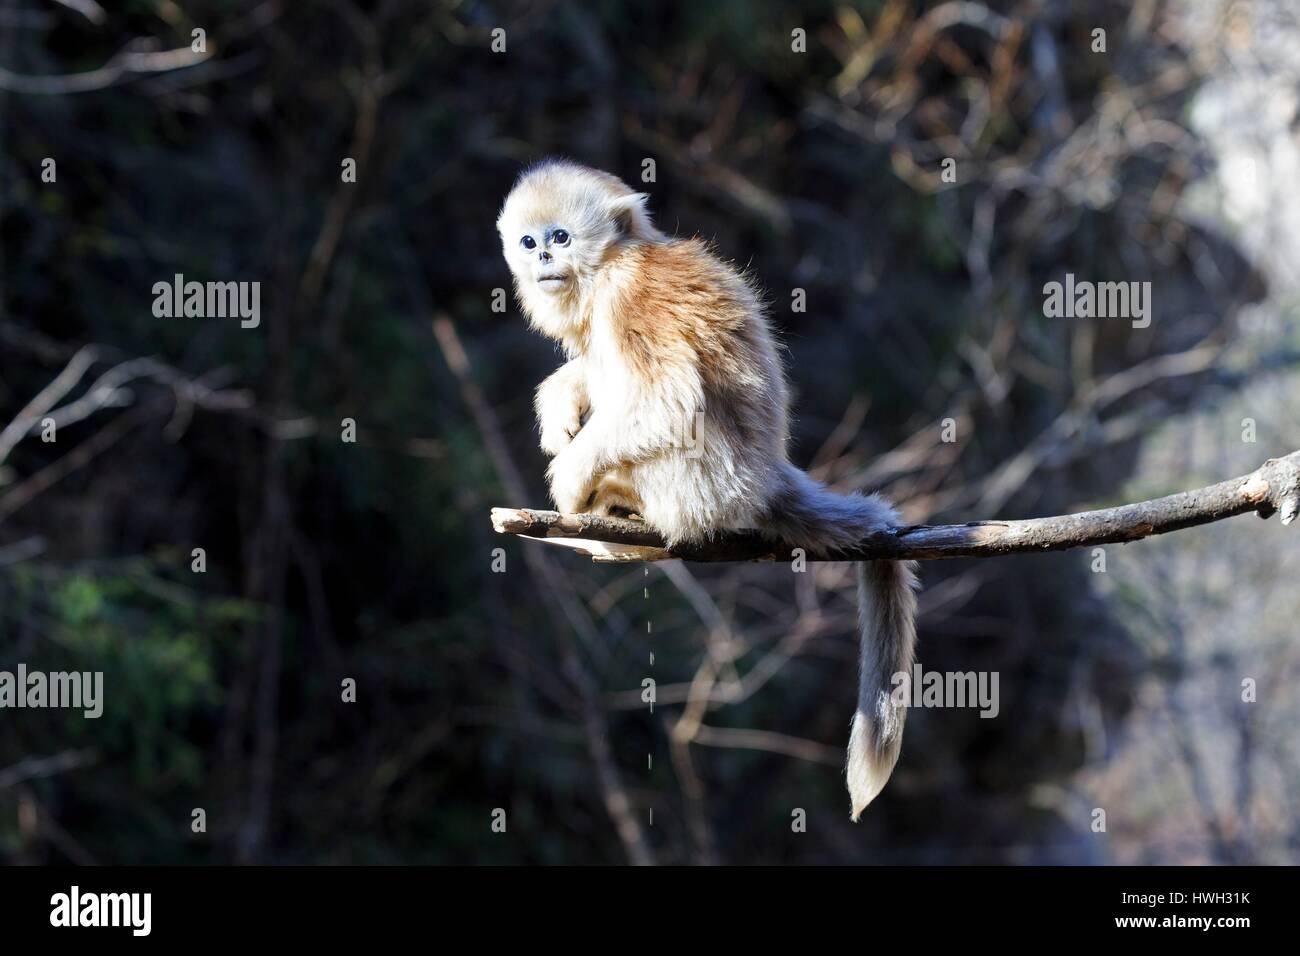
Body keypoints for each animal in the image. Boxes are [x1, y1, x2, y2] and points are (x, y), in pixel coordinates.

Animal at [496, 159, 918, 819]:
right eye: (528, 241)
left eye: (560, 237)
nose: (541, 257)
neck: (614, 263)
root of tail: (768, 476)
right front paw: (560, 398)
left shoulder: (629, 295)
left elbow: (671, 401)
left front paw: (569, 477)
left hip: (702, 485)